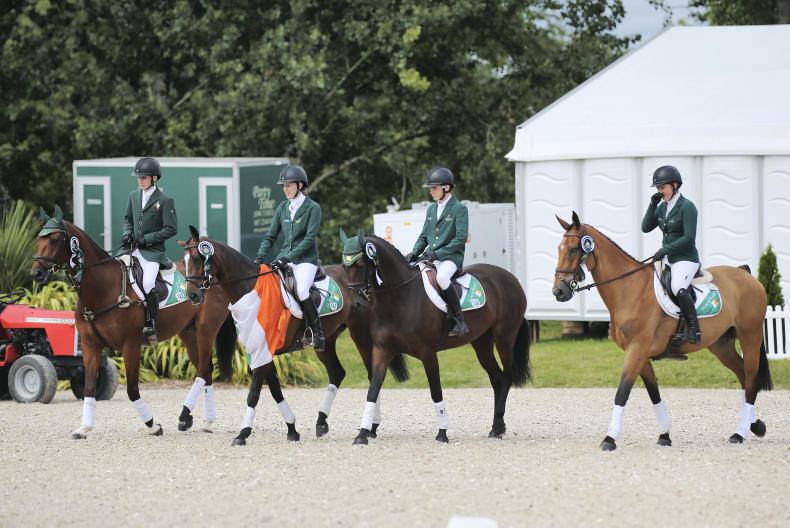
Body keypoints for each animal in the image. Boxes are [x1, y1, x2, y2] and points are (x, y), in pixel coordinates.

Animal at [31, 218, 236, 438]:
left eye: (55, 239)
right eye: (39, 239)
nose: (37, 273)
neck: (103, 289)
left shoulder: (130, 346)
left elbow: (131, 389)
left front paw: (153, 425)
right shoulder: (89, 346)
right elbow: (89, 388)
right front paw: (84, 428)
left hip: (206, 331)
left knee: (204, 369)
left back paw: (190, 417)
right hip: (188, 334)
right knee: (205, 371)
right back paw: (204, 421)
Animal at [182, 226, 408, 445]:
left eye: (197, 259)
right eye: (184, 262)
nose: (192, 296)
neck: (250, 289)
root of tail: (366, 289)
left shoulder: (263, 347)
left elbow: (254, 393)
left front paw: (242, 433)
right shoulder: (261, 349)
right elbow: (275, 389)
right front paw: (291, 429)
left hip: (361, 336)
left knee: (372, 375)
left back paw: (371, 427)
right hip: (326, 341)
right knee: (337, 373)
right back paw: (322, 422)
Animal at [341, 233, 532, 445]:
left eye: (360, 265)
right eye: (344, 266)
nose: (356, 304)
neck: (399, 297)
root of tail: (511, 277)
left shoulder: (428, 353)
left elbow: (435, 391)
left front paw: (442, 433)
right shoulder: (383, 350)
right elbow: (373, 389)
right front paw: (362, 434)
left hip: (504, 338)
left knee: (506, 377)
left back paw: (498, 427)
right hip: (482, 343)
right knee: (497, 379)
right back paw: (497, 427)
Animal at [552, 212, 773, 451]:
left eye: (573, 249)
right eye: (559, 248)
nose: (558, 291)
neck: (629, 289)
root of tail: (746, 275)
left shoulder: (636, 350)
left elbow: (622, 393)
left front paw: (609, 439)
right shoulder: (640, 354)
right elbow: (653, 393)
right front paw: (665, 435)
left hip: (750, 336)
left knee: (750, 378)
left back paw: (741, 432)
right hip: (721, 345)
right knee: (743, 375)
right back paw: (754, 425)